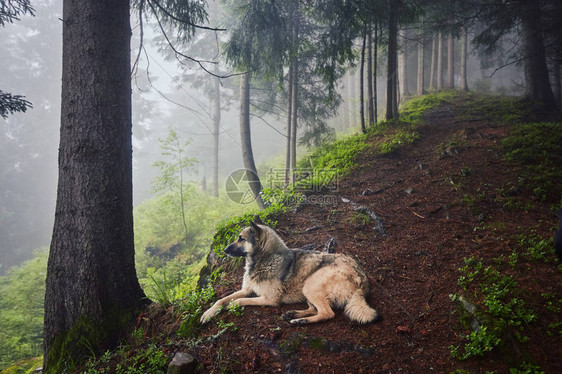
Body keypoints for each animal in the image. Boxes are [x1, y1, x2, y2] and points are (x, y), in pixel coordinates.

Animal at [198, 219, 380, 324]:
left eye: (241, 239)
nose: (225, 250)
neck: (265, 258)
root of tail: (362, 280)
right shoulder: (247, 289)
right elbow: (220, 300)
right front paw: (208, 313)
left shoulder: (269, 299)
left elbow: (240, 301)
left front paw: (232, 305)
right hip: (309, 289)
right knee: (315, 309)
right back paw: (294, 315)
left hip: (311, 284)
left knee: (327, 313)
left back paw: (301, 321)